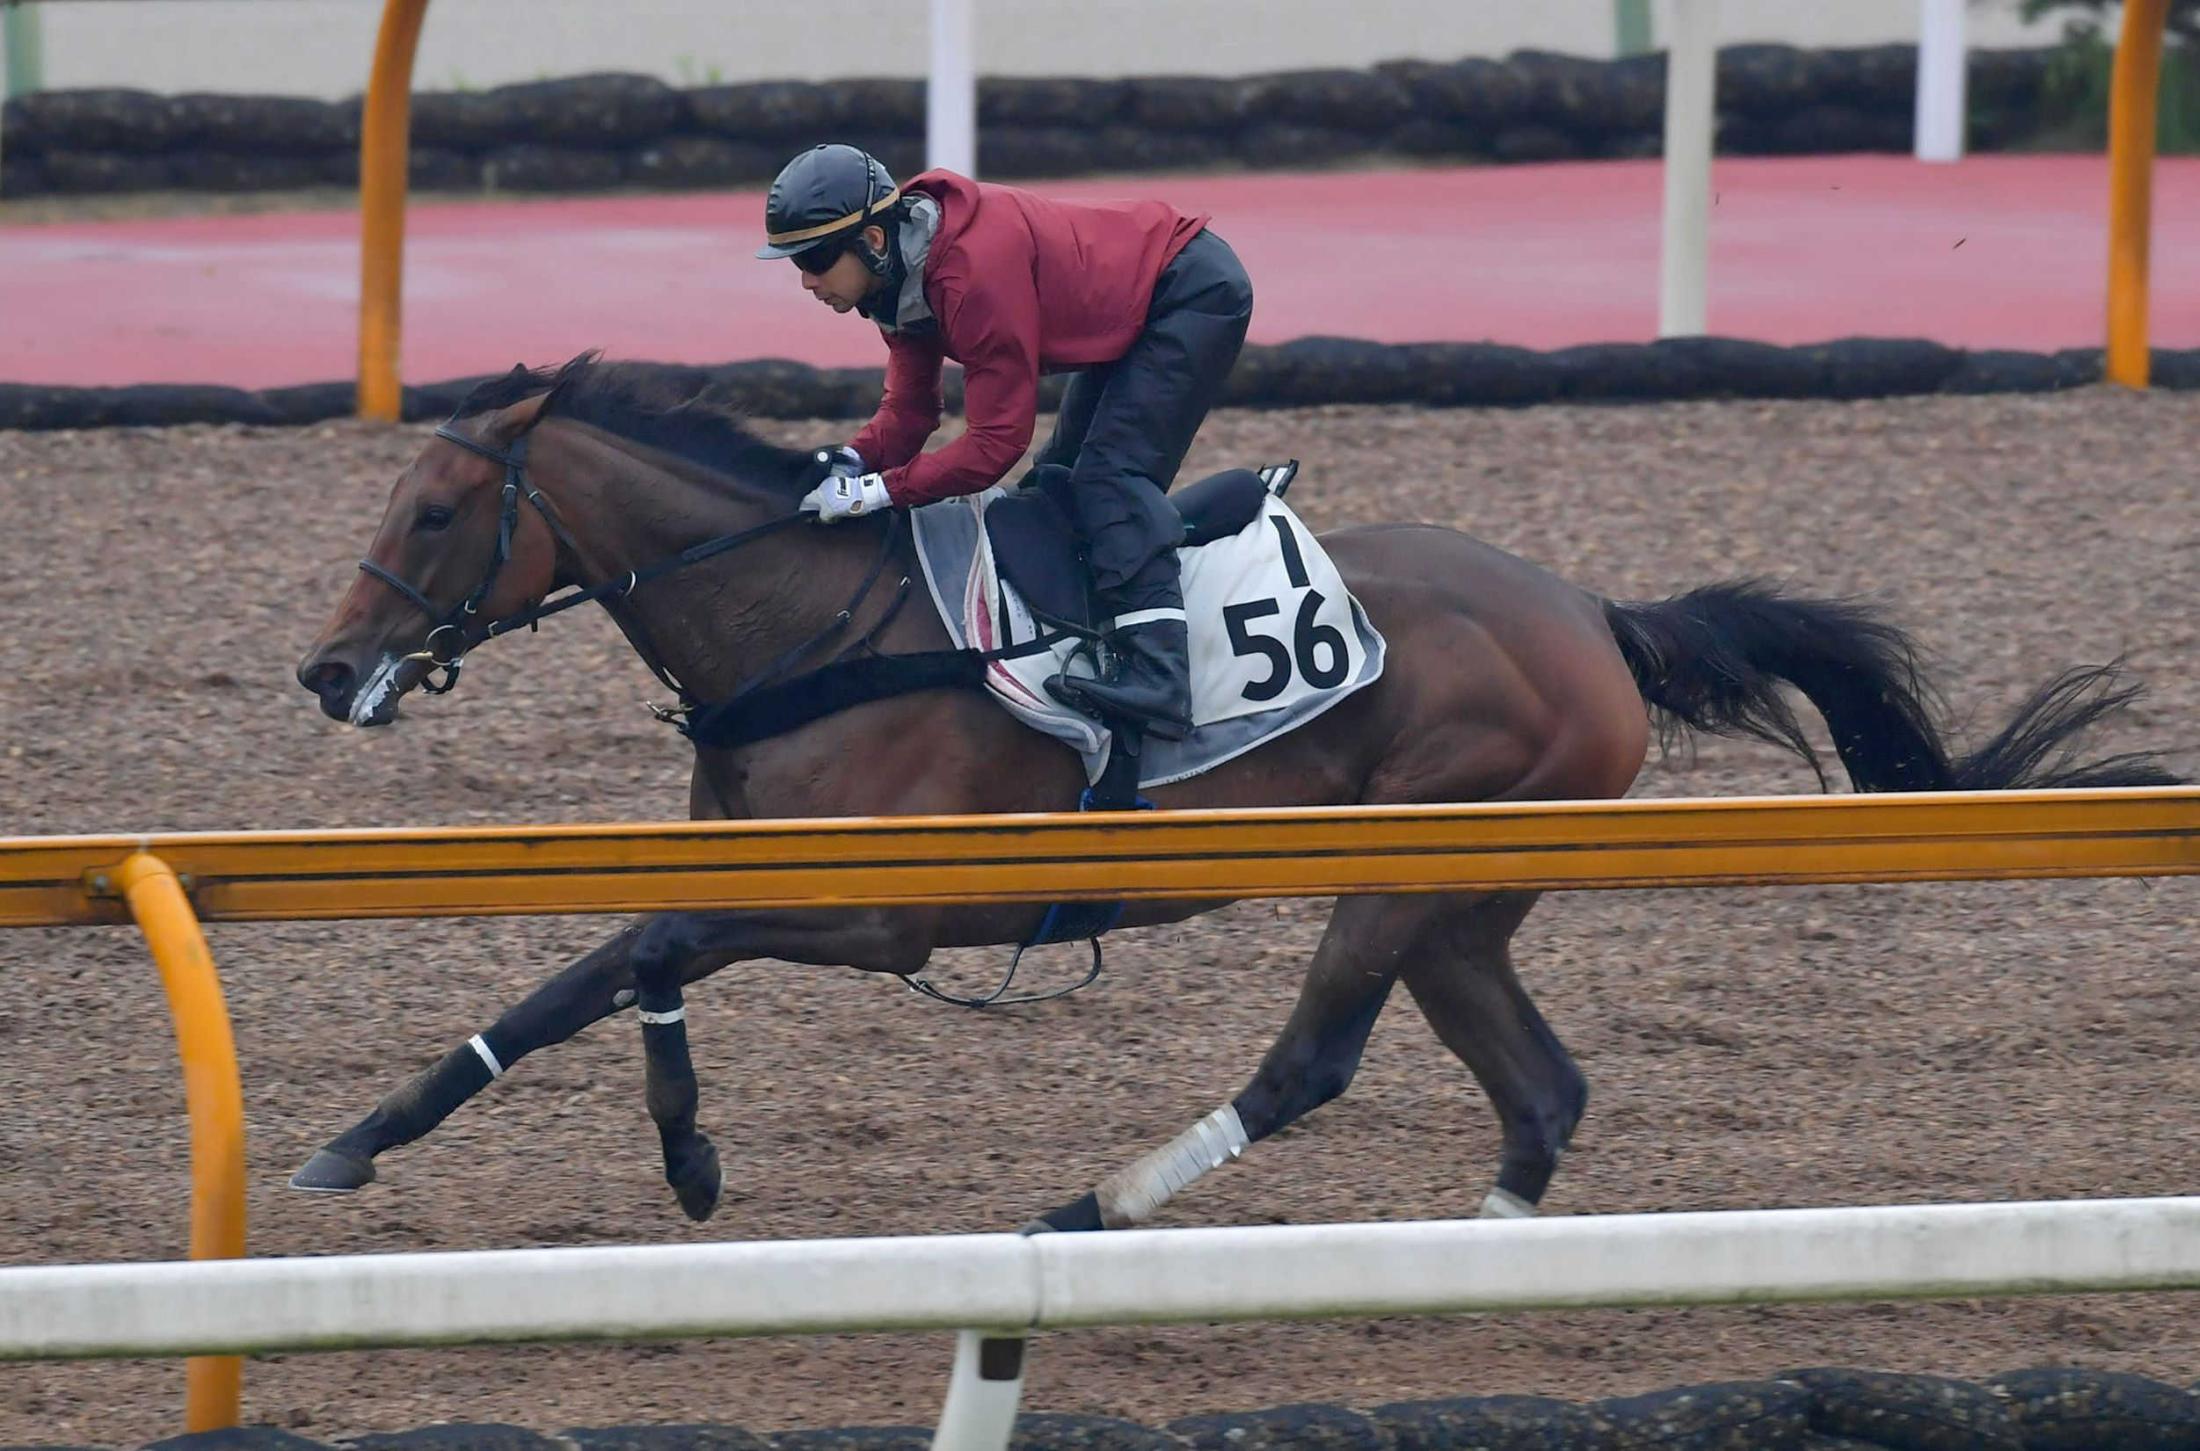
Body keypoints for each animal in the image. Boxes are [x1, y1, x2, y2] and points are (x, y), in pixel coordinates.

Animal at [297, 356, 2182, 1231]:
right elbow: (613, 963)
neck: (814, 629)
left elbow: (631, 953)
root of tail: (1591, 611)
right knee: (1541, 1090)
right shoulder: (761, 875)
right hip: (1463, 907)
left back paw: (1093, 1204)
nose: (327, 670)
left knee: (1312, 1063)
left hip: (1401, 869)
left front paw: (645, 1152)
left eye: (435, 516)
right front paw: (423, 1140)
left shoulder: (894, 909)